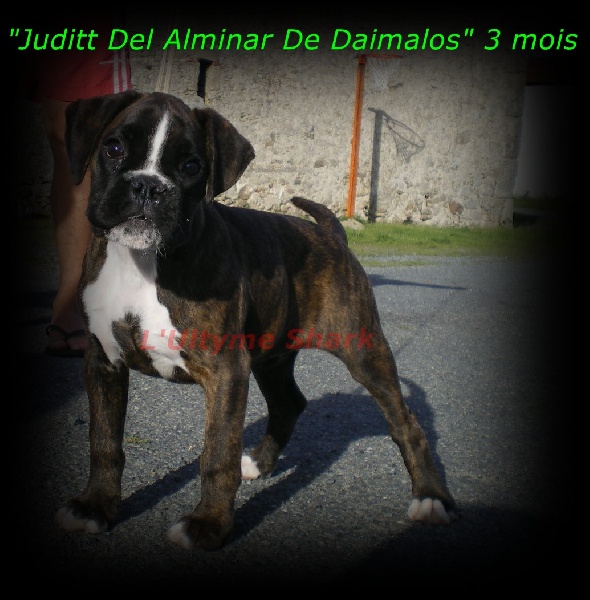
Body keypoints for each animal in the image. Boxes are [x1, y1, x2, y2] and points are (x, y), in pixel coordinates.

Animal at [55, 90, 457, 551]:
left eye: (191, 166)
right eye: (114, 148)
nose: (148, 186)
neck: (141, 263)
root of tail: (332, 233)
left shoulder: (225, 371)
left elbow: (217, 453)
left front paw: (208, 525)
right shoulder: (103, 361)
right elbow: (104, 442)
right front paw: (94, 507)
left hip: (364, 352)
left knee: (405, 423)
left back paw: (432, 498)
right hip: (272, 356)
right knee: (289, 403)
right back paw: (260, 463)